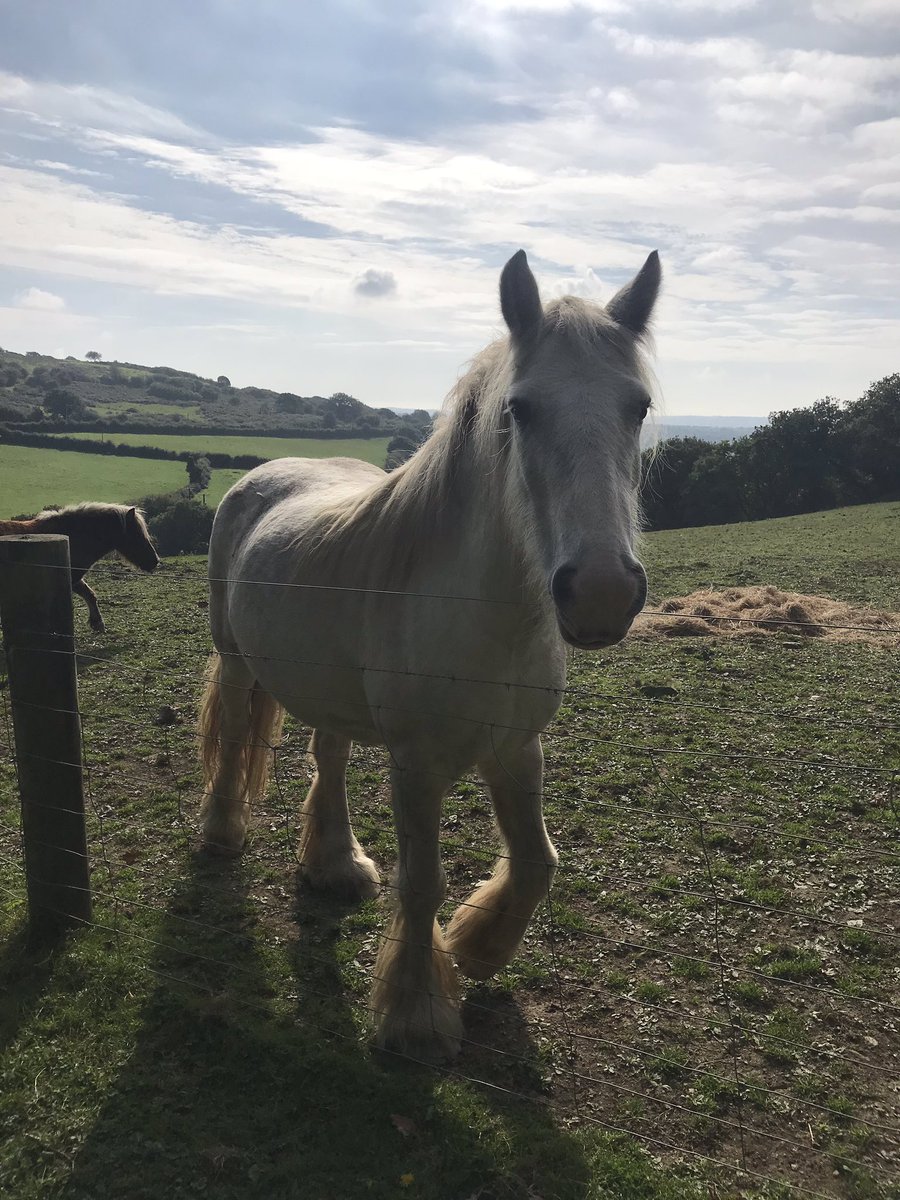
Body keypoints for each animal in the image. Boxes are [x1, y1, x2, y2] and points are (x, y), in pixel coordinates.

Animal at [0, 503, 160, 632]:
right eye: (136, 534)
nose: (155, 561)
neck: (72, 536)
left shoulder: (74, 578)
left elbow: (90, 594)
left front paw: (97, 623)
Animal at [198, 248, 661, 1062]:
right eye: (520, 409)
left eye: (636, 406)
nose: (602, 592)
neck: (490, 620)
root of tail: (263, 471)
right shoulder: (418, 763)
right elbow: (422, 883)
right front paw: (415, 1015)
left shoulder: (517, 748)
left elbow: (538, 863)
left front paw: (478, 948)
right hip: (236, 660)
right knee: (232, 732)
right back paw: (224, 831)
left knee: (328, 755)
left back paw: (335, 864)